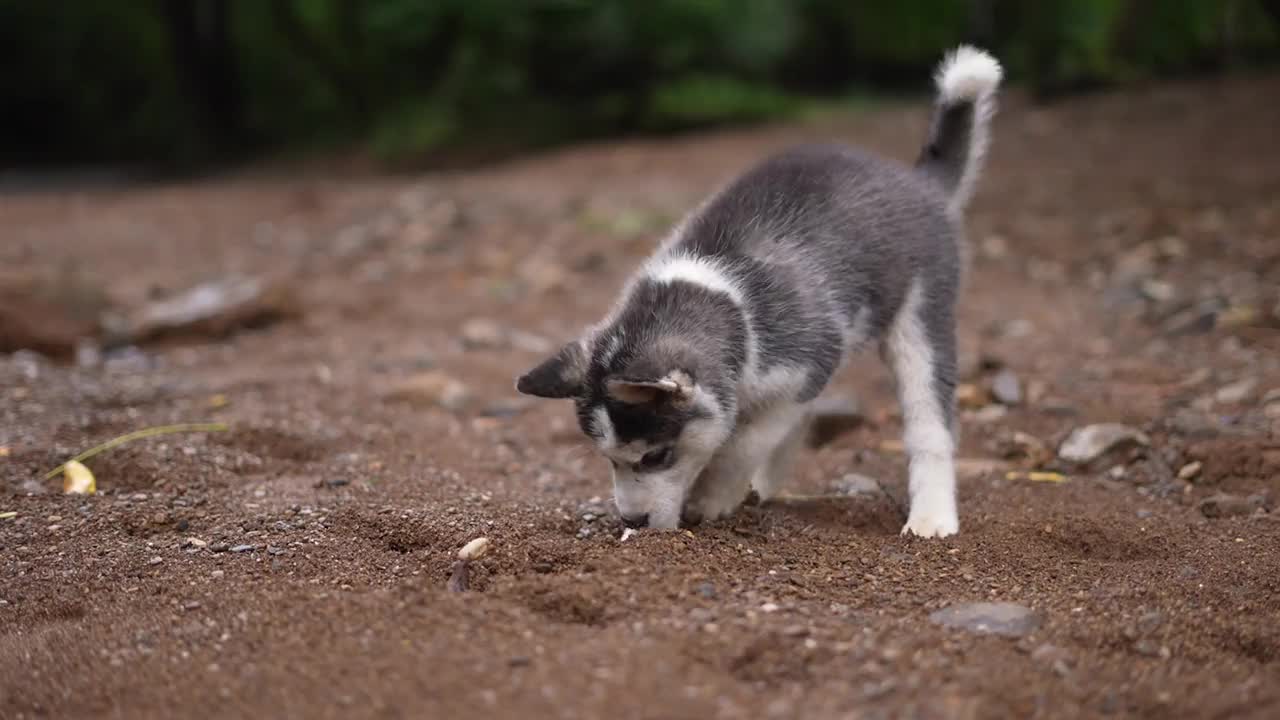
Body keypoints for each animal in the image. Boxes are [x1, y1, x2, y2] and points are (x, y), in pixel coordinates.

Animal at [512, 44, 998, 535]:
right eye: (608, 459)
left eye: (656, 455)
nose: (634, 519)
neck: (730, 307)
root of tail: (919, 181)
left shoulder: (802, 372)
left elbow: (741, 444)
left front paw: (711, 497)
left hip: (920, 322)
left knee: (929, 425)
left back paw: (931, 517)